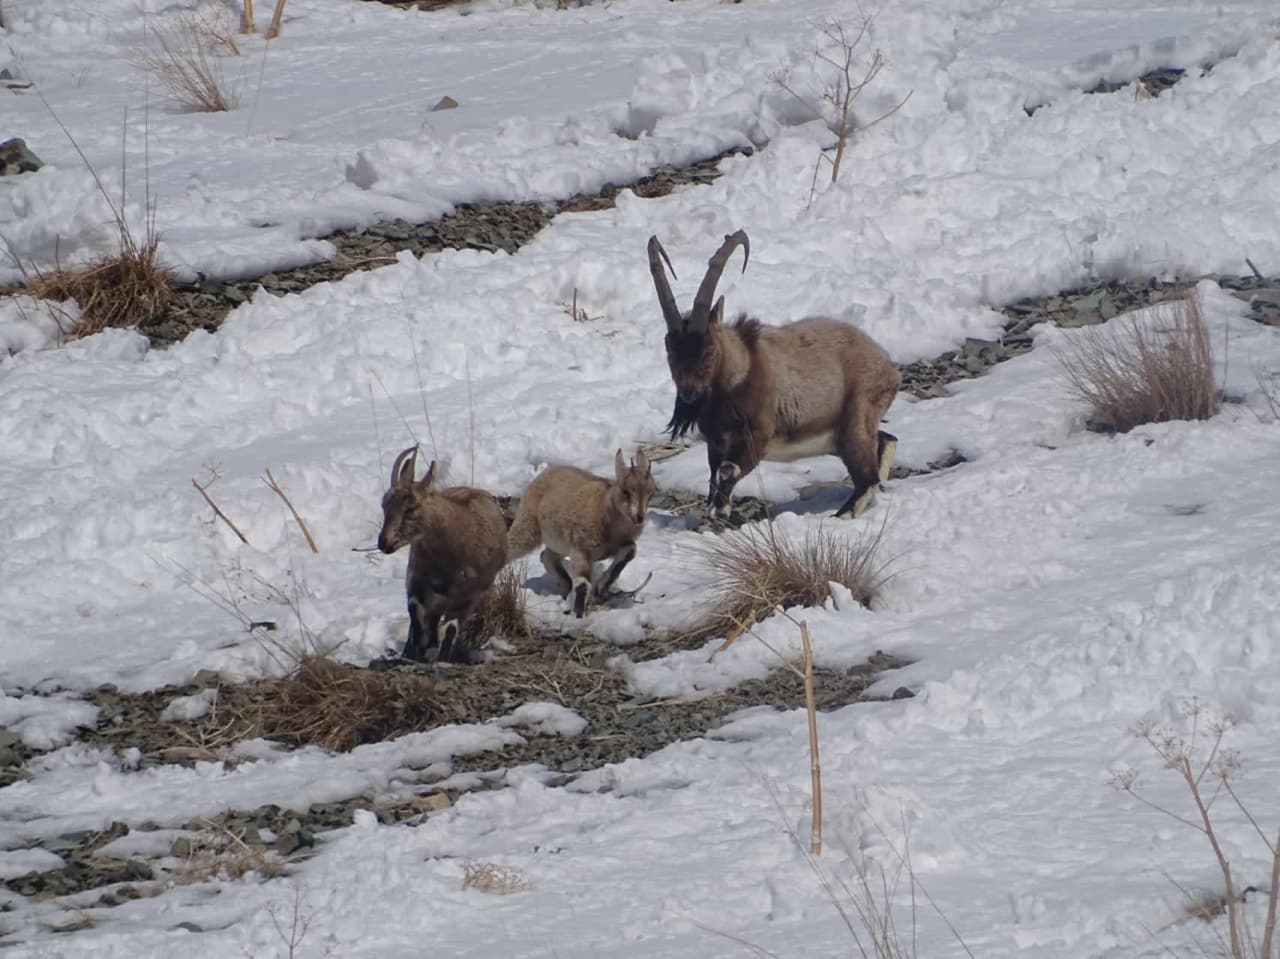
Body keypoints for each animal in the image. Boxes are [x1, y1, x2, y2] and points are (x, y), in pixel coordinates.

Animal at [373, 445, 506, 660]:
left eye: (411, 507)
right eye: (384, 505)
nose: (384, 542)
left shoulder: (469, 595)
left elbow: (451, 627)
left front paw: (440, 656)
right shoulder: (416, 580)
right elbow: (416, 612)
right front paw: (418, 648)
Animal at [504, 450, 655, 617]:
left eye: (651, 493)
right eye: (625, 491)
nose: (639, 517)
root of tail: (546, 473)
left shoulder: (621, 543)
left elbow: (631, 550)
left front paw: (601, 586)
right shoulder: (581, 549)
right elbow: (583, 583)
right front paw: (578, 616)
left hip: (559, 542)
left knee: (547, 557)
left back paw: (565, 587)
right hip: (528, 525)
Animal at [650, 229, 901, 519]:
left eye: (708, 350)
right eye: (669, 349)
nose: (689, 394)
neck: (743, 369)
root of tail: (889, 368)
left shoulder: (757, 436)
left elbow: (727, 471)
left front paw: (720, 512)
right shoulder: (716, 443)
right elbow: (714, 475)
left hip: (857, 417)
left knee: (867, 477)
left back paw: (843, 514)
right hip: (842, 435)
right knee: (885, 441)